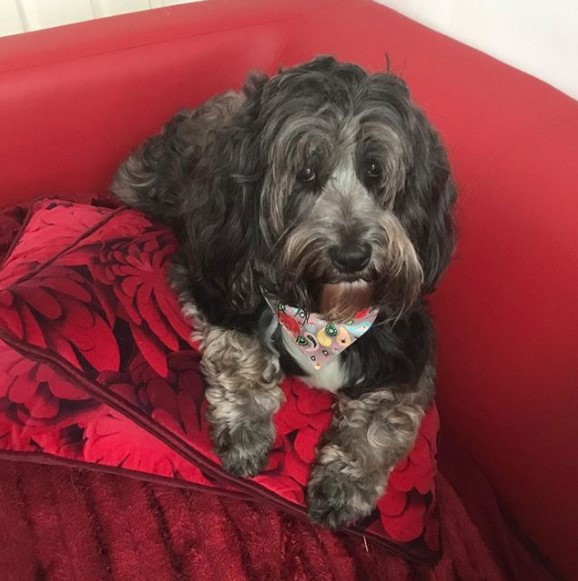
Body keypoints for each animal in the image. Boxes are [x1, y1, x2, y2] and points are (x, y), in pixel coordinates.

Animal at [111, 56, 454, 528]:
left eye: (374, 170)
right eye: (305, 172)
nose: (352, 256)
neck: (327, 320)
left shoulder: (408, 356)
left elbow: (381, 424)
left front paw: (346, 482)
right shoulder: (216, 290)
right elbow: (245, 357)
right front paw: (246, 431)